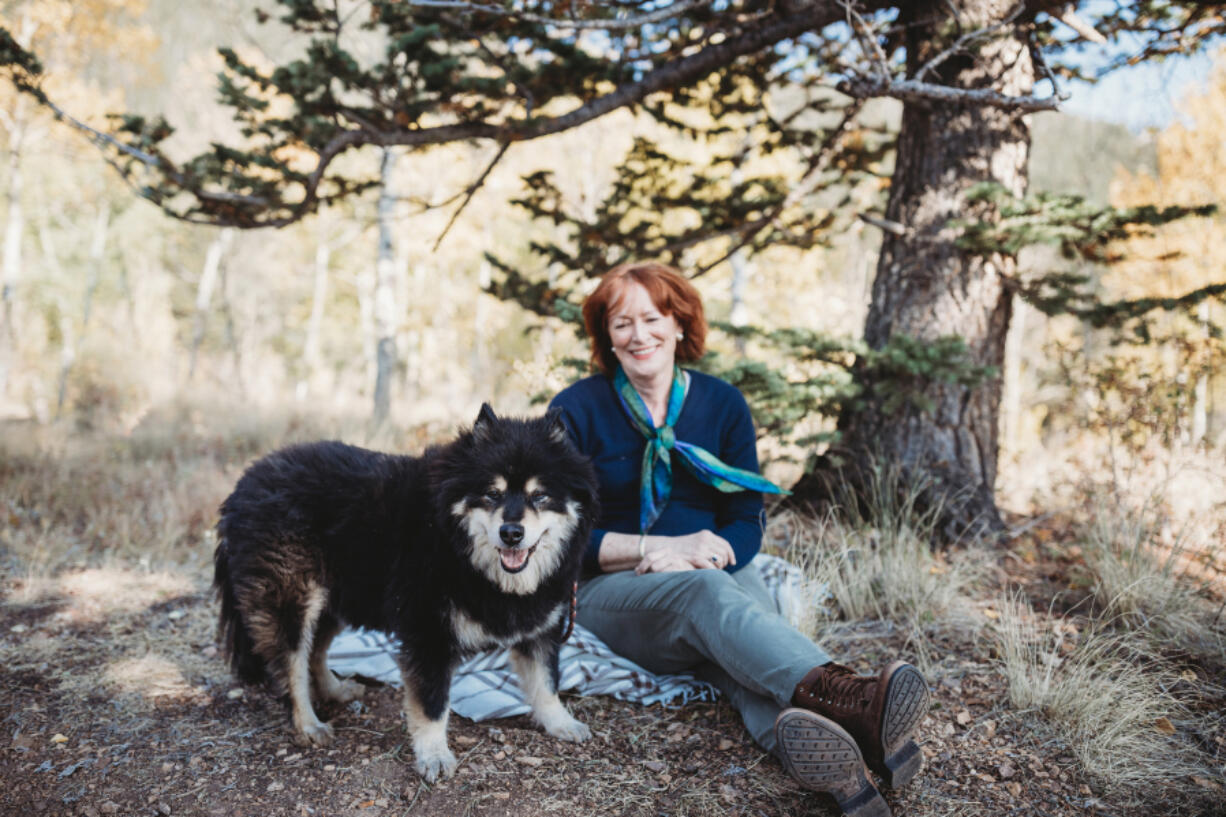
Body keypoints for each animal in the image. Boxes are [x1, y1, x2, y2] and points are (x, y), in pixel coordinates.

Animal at [213, 404, 600, 780]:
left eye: (540, 496)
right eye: (492, 494)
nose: (511, 533)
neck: (457, 547)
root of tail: (239, 489)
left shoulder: (540, 629)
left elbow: (546, 682)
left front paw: (561, 722)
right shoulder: (428, 633)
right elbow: (432, 706)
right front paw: (434, 756)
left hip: (337, 596)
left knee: (316, 651)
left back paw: (336, 690)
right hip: (293, 600)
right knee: (292, 664)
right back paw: (308, 723)